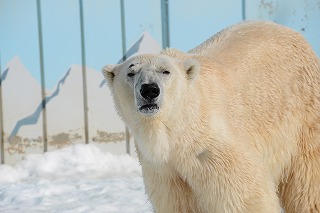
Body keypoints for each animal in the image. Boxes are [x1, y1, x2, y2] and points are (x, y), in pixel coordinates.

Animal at [102, 20, 320, 212]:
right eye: (131, 73)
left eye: (166, 71)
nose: (149, 90)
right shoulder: (163, 170)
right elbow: (177, 204)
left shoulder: (212, 151)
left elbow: (245, 197)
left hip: (305, 115)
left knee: (308, 184)